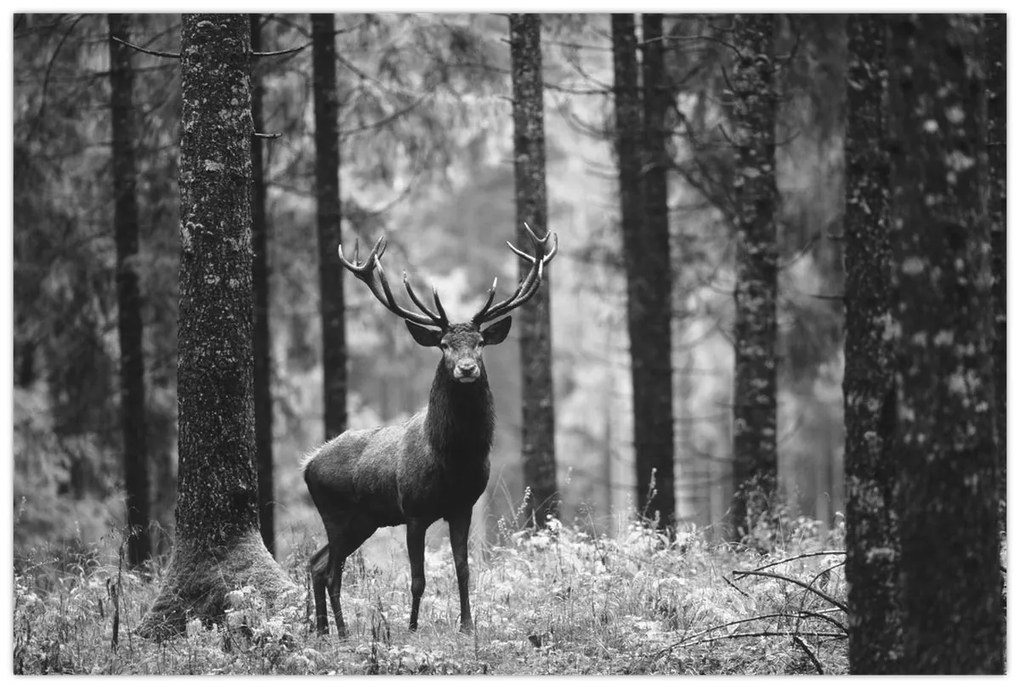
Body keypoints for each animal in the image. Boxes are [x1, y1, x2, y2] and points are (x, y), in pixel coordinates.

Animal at [301, 224, 558, 636]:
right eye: (444, 344)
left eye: (480, 342)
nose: (467, 368)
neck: (452, 459)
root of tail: (308, 464)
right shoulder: (415, 511)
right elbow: (417, 578)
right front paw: (411, 627)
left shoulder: (463, 506)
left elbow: (463, 569)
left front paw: (467, 625)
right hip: (335, 512)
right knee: (331, 571)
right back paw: (341, 632)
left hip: (363, 520)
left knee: (317, 563)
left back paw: (325, 630)